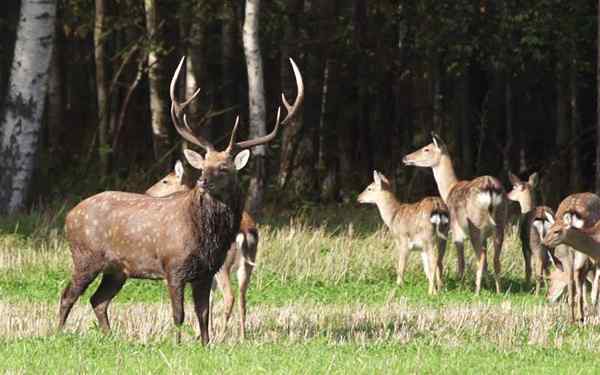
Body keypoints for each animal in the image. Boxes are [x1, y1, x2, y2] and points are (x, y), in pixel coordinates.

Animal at [146, 159, 258, 340]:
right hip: (248, 264)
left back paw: (222, 336)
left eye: (165, 181)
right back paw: (242, 336)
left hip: (223, 265)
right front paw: (203, 331)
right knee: (243, 297)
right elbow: (209, 299)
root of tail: (246, 232)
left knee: (230, 297)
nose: (148, 192)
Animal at [404, 134, 506, 296]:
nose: (406, 158)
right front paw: (487, 285)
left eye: (426, 149)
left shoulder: (456, 231)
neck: (449, 190)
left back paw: (476, 291)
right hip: (501, 223)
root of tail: (490, 187)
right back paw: (498, 290)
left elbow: (461, 262)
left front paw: (461, 286)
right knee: (495, 259)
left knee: (481, 257)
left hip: (475, 225)